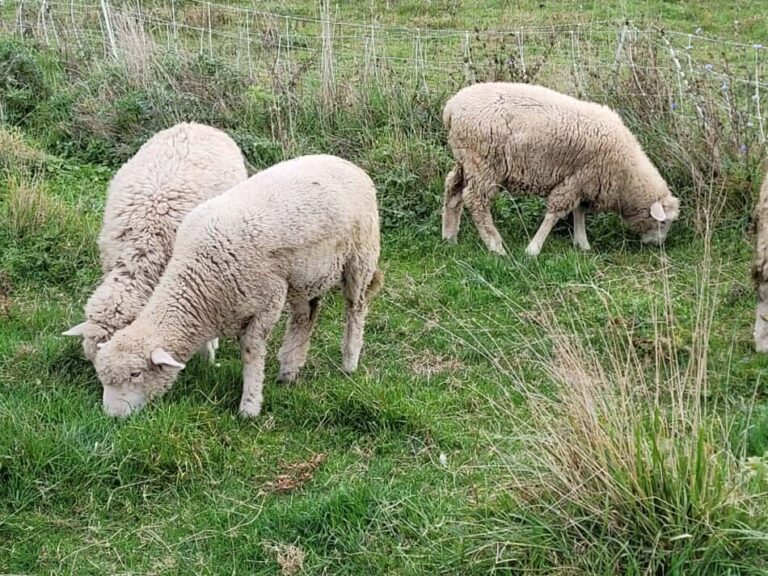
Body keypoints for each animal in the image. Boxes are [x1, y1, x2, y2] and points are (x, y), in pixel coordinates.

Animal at [94, 154, 384, 418]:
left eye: (135, 374)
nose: (111, 416)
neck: (198, 278)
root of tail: (349, 164)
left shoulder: (268, 300)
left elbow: (251, 352)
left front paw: (250, 406)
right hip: (305, 275)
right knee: (305, 317)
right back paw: (289, 370)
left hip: (361, 256)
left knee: (356, 308)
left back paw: (349, 361)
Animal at [440, 81, 680, 254]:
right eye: (663, 222)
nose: (657, 245)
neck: (627, 175)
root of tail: (451, 108)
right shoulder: (580, 178)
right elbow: (556, 212)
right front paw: (533, 249)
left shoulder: (584, 182)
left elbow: (578, 211)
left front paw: (582, 244)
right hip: (483, 163)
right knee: (475, 201)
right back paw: (495, 246)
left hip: (466, 160)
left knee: (453, 188)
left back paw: (449, 236)